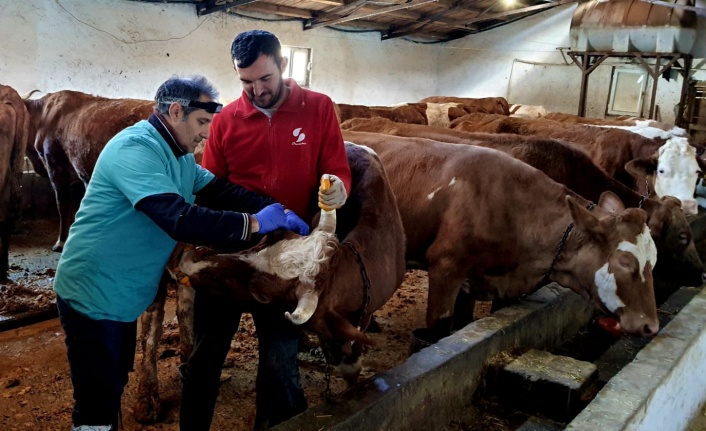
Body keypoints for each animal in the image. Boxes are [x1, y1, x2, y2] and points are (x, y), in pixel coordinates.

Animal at [134, 143, 404, 424]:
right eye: (272, 236)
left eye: (261, 295)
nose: (190, 259)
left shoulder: (357, 312)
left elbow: (351, 355)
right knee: (152, 321)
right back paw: (148, 397)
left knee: (185, 304)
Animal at [342, 130, 660, 340]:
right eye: (625, 263)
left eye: (653, 261)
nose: (651, 326)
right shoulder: (446, 265)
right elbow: (438, 328)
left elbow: (464, 320)